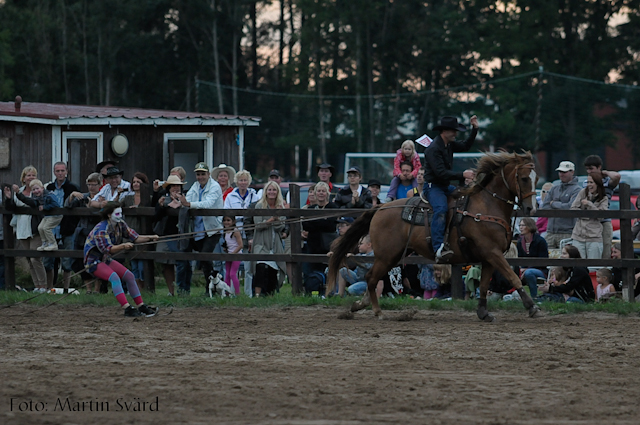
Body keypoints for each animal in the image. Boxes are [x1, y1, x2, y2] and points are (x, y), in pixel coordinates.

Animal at [328, 151, 544, 320]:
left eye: (536, 179)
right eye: (524, 178)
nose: (531, 208)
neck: (486, 206)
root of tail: (380, 208)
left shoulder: (490, 257)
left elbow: (483, 286)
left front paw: (483, 312)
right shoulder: (492, 253)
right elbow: (513, 278)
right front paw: (532, 307)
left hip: (393, 256)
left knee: (372, 278)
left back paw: (361, 305)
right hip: (386, 255)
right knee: (371, 277)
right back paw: (377, 311)